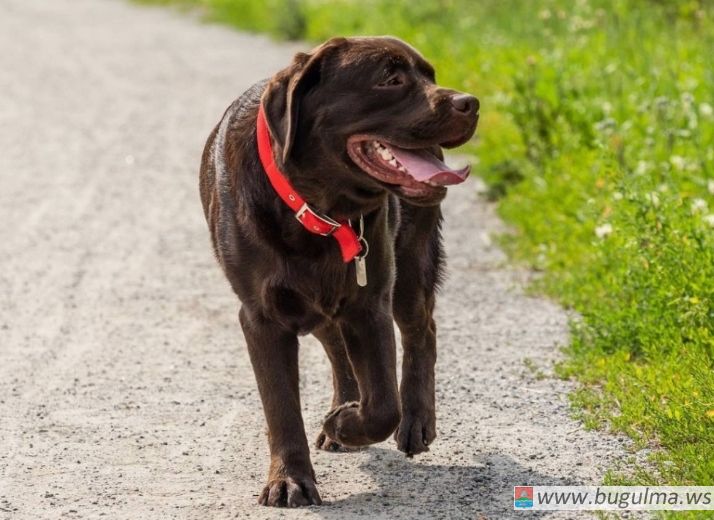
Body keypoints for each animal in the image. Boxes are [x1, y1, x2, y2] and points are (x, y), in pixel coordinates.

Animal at [199, 37, 478, 508]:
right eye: (390, 78)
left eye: (430, 75)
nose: (470, 102)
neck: (317, 209)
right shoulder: (261, 316)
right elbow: (281, 406)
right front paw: (290, 479)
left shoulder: (370, 303)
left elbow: (383, 405)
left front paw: (345, 424)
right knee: (335, 345)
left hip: (411, 265)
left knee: (422, 332)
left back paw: (415, 422)